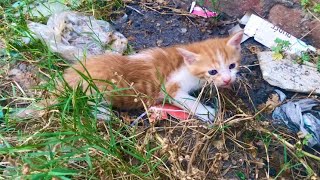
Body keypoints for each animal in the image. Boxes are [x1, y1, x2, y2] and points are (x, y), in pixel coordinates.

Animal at [62, 31, 242, 121]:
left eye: (232, 66)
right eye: (212, 71)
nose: (228, 79)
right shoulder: (171, 87)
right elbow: (189, 101)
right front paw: (208, 113)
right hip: (95, 87)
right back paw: (103, 114)